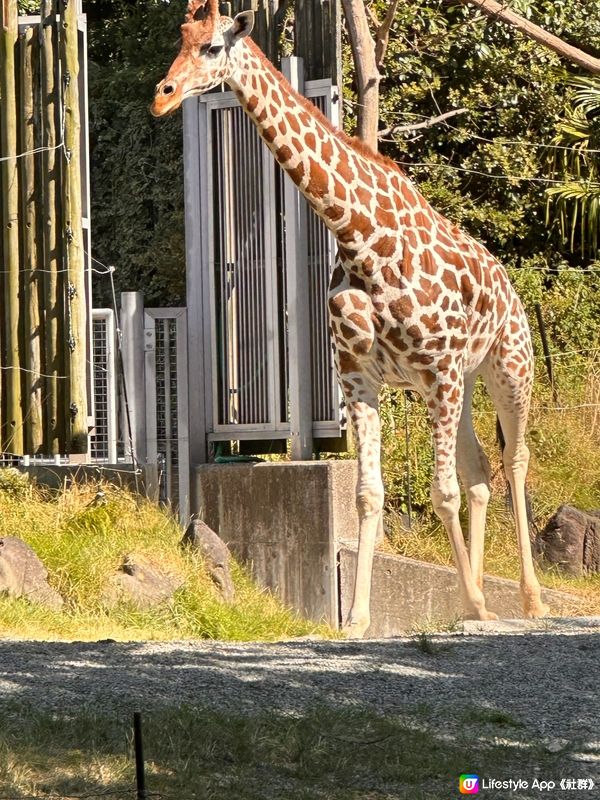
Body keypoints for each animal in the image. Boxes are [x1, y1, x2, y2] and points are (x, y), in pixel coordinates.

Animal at [154, 0, 548, 636]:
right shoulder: (360, 379)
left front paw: (470, 603)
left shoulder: (435, 373)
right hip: (460, 383)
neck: (359, 234)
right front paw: (361, 618)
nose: (161, 96)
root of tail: (509, 286)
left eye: (212, 47)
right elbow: (369, 494)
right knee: (481, 471)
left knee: (515, 461)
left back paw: (529, 600)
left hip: (507, 365)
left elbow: (440, 493)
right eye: (180, 40)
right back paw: (481, 595)